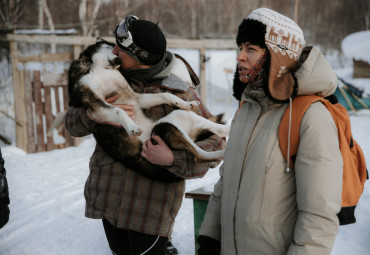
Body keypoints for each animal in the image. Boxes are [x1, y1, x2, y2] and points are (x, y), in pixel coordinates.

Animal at [66, 38, 228, 181]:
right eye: (111, 47)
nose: (119, 61)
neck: (99, 68)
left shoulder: (135, 97)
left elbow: (165, 95)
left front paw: (184, 103)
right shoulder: (96, 105)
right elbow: (119, 110)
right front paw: (132, 127)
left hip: (179, 119)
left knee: (212, 132)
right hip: (167, 126)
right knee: (199, 156)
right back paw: (224, 151)